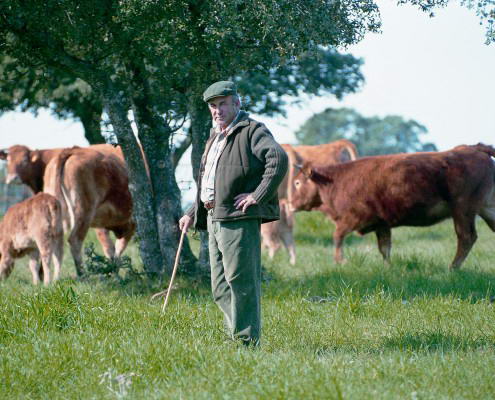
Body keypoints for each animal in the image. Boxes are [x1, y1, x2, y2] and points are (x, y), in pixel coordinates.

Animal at [42, 146, 135, 276]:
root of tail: (74, 150)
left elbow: (110, 247)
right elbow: (118, 247)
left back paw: (55, 277)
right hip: (84, 212)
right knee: (74, 240)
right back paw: (83, 275)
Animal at [288, 142, 495, 270]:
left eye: (297, 183)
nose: (290, 204)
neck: (335, 180)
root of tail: (474, 148)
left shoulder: (353, 218)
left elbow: (337, 236)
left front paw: (340, 261)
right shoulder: (382, 224)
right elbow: (385, 248)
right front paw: (388, 268)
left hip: (462, 209)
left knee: (466, 237)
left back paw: (452, 268)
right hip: (485, 208)